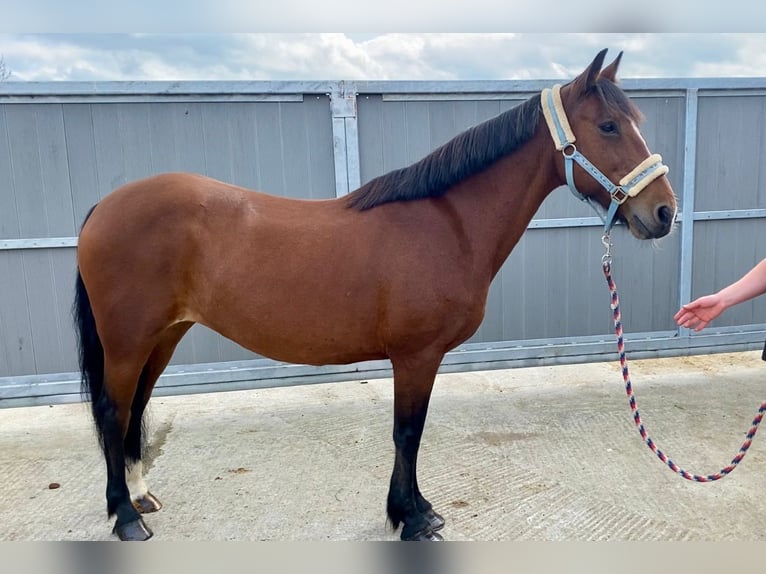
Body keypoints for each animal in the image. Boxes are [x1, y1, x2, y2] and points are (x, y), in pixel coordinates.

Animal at [75, 50, 680, 544]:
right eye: (608, 125)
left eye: (635, 123)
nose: (664, 212)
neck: (448, 224)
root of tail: (104, 206)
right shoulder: (416, 355)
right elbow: (407, 432)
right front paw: (411, 518)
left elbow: (411, 433)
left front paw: (416, 509)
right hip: (128, 341)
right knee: (112, 410)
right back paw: (125, 518)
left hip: (163, 336)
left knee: (135, 410)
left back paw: (139, 497)